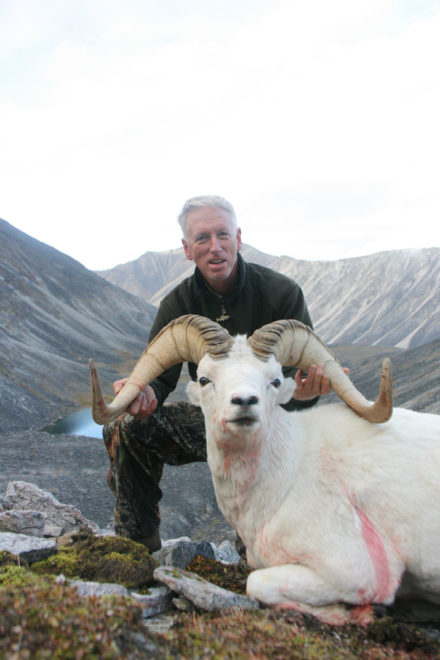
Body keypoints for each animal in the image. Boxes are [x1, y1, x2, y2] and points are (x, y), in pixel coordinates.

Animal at [89, 314, 440, 624]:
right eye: (204, 379)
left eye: (275, 380)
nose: (245, 401)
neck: (284, 481)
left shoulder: (350, 570)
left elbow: (256, 584)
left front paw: (347, 614)